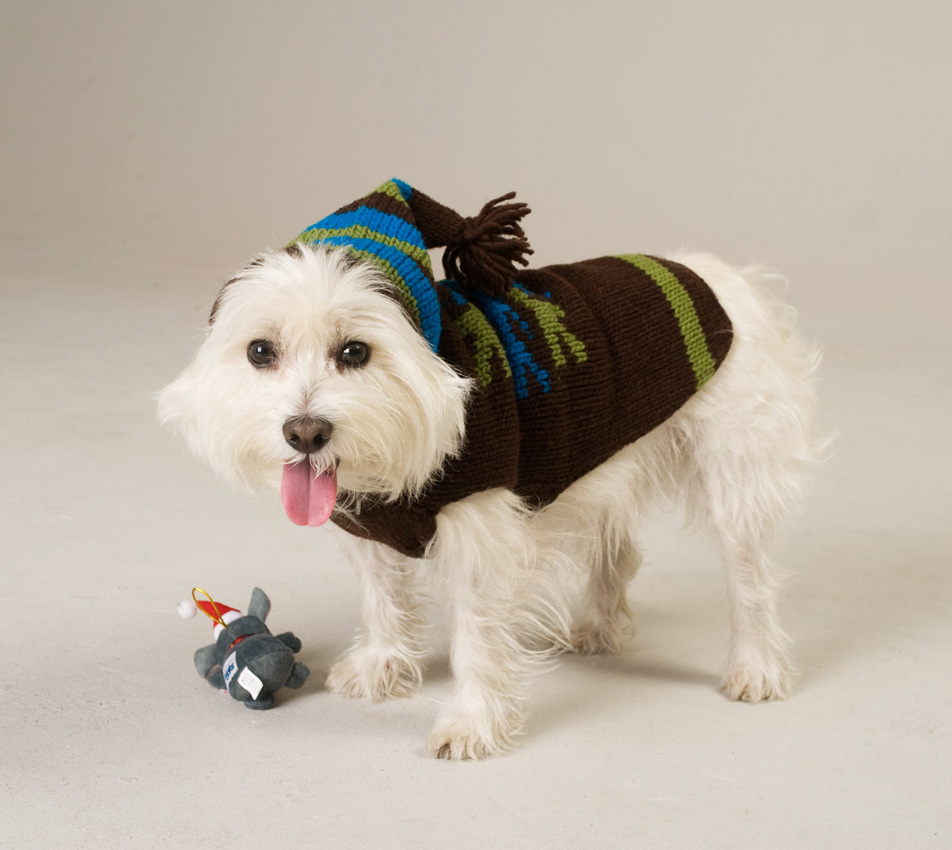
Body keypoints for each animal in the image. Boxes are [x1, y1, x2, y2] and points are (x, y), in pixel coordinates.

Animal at [156, 200, 820, 760]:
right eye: (260, 351)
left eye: (355, 352)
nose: (305, 432)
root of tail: (723, 276)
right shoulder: (370, 527)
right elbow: (382, 598)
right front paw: (382, 666)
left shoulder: (481, 542)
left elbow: (475, 640)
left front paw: (471, 723)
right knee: (620, 550)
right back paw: (599, 627)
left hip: (734, 478)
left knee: (749, 579)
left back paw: (756, 666)